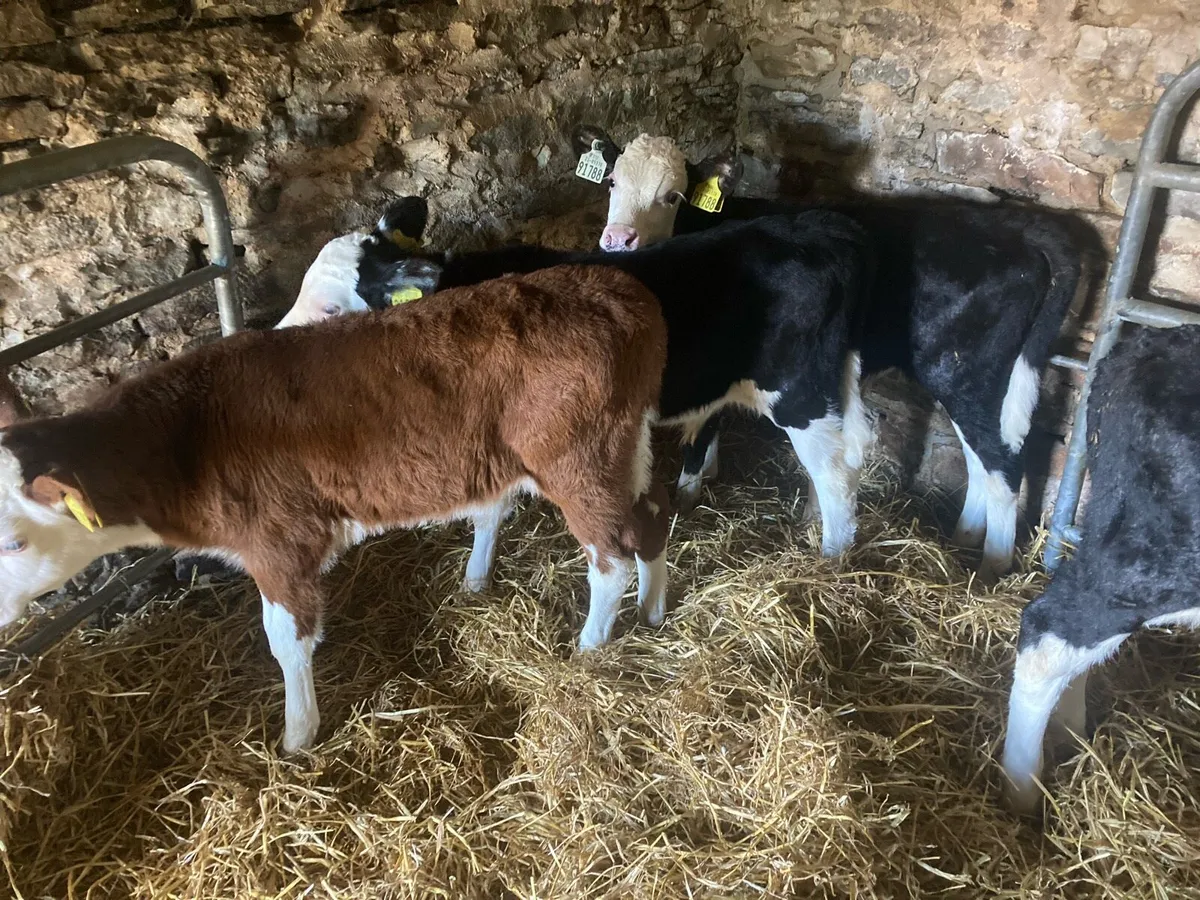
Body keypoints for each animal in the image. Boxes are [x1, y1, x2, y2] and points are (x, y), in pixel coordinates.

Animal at [0, 265, 670, 753]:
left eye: (13, 540)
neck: (184, 440)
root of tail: (618, 289)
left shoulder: (278, 539)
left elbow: (286, 640)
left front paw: (297, 736)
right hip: (626, 444)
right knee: (651, 517)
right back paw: (651, 610)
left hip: (577, 459)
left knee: (610, 557)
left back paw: (590, 646)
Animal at [573, 126, 1083, 578]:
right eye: (613, 181)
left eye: (673, 195)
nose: (617, 238)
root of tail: (1017, 230)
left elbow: (703, 430)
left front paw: (690, 492)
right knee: (980, 459)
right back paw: (965, 537)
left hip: (965, 371)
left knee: (1002, 463)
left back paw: (992, 568)